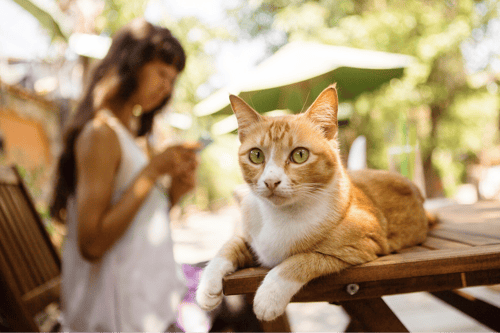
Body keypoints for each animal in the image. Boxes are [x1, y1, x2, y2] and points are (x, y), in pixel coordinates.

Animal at [195, 84, 430, 320]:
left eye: (300, 155)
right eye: (256, 155)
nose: (271, 181)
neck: (279, 215)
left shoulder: (362, 244)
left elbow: (301, 259)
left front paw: (269, 296)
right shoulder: (248, 236)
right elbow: (227, 246)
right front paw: (207, 286)